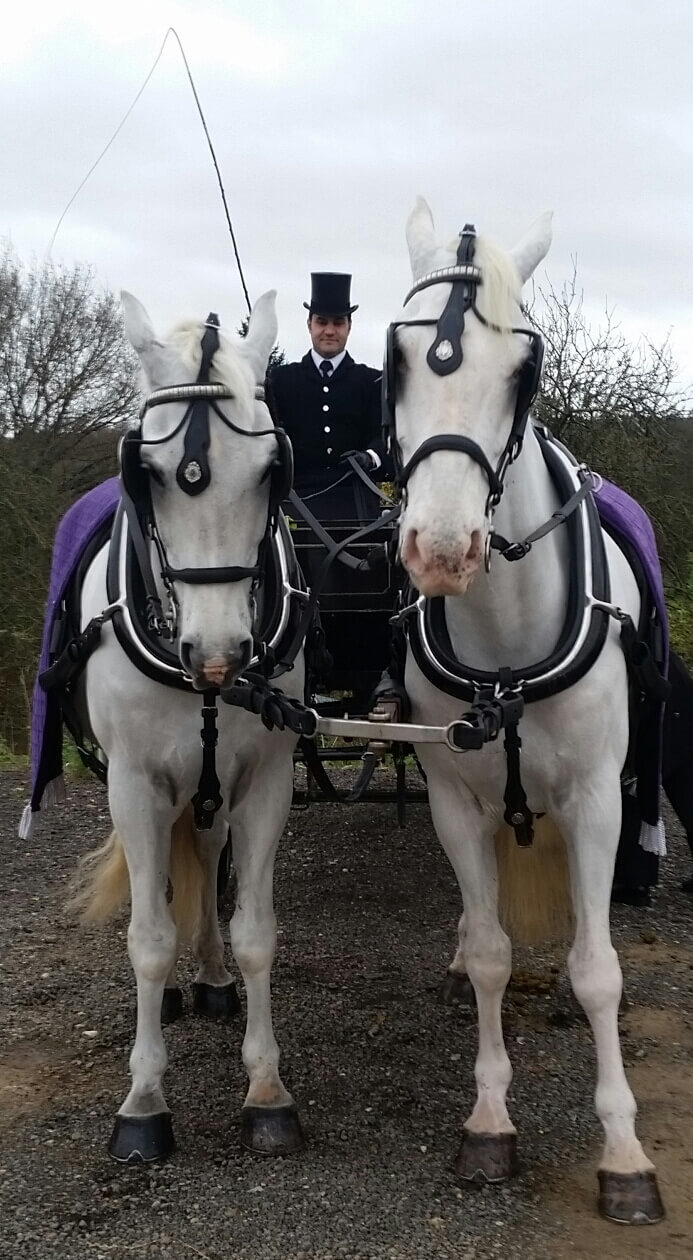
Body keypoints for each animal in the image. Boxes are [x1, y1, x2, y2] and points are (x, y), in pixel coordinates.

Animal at [71, 289, 307, 1163]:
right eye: (149, 474)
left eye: (271, 471)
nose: (218, 655)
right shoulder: (136, 786)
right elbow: (147, 936)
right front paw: (143, 1103)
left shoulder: (266, 779)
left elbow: (256, 931)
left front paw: (266, 1090)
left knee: (204, 856)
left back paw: (207, 979)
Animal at [385, 198, 664, 1224]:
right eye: (395, 357)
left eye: (524, 369)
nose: (440, 549)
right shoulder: (453, 803)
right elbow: (493, 954)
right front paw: (489, 1121)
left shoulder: (594, 801)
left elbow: (597, 971)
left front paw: (622, 1152)